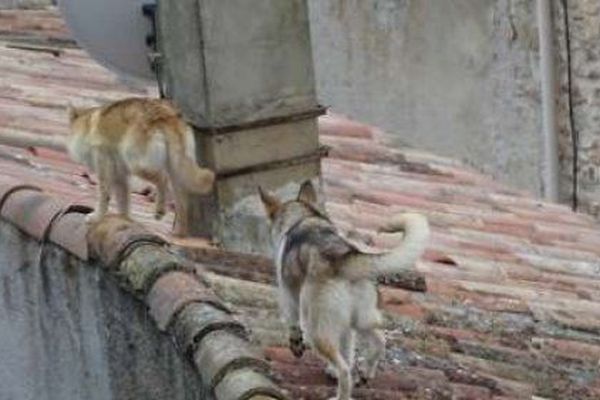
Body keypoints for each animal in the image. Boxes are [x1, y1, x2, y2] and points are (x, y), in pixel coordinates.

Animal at [260, 180, 428, 400]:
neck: (303, 218)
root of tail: (343, 260)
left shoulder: (289, 297)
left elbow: (293, 324)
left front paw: (297, 346)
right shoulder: (347, 328)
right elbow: (347, 350)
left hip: (318, 331)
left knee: (345, 369)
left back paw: (341, 394)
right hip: (362, 319)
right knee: (379, 342)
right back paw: (366, 372)